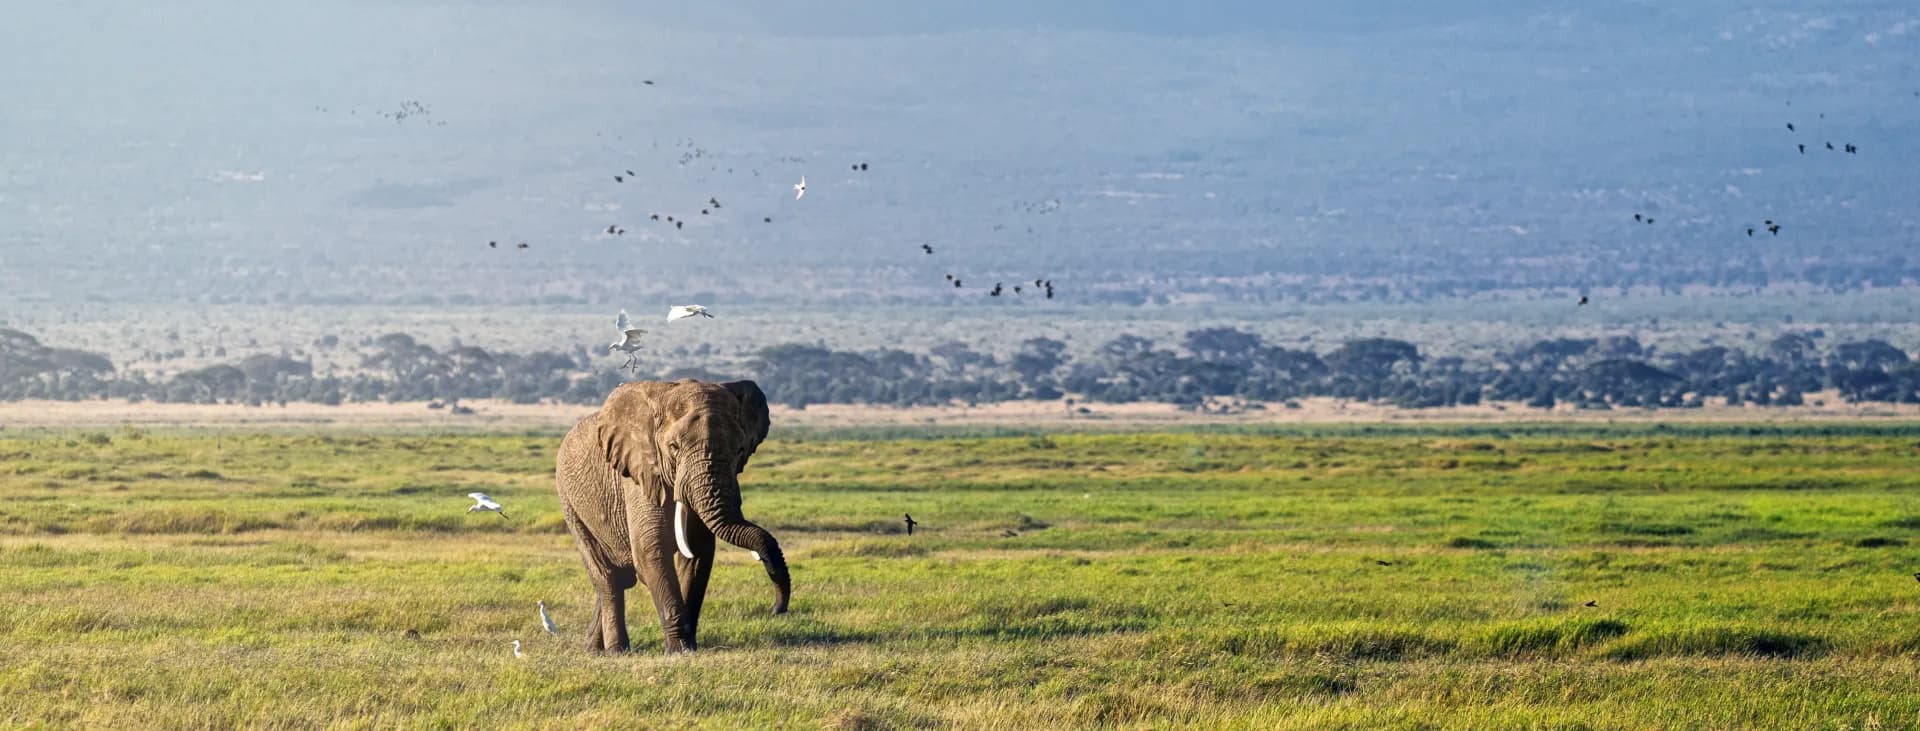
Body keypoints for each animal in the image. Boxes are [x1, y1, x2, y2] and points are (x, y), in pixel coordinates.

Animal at [555, 379, 789, 653]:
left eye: (740, 450)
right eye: (673, 448)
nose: (777, 609)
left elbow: (698, 553)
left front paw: (689, 647)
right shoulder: (639, 474)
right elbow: (651, 551)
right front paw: (677, 650)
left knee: (619, 579)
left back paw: (594, 648)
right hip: (569, 503)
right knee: (607, 578)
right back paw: (616, 651)